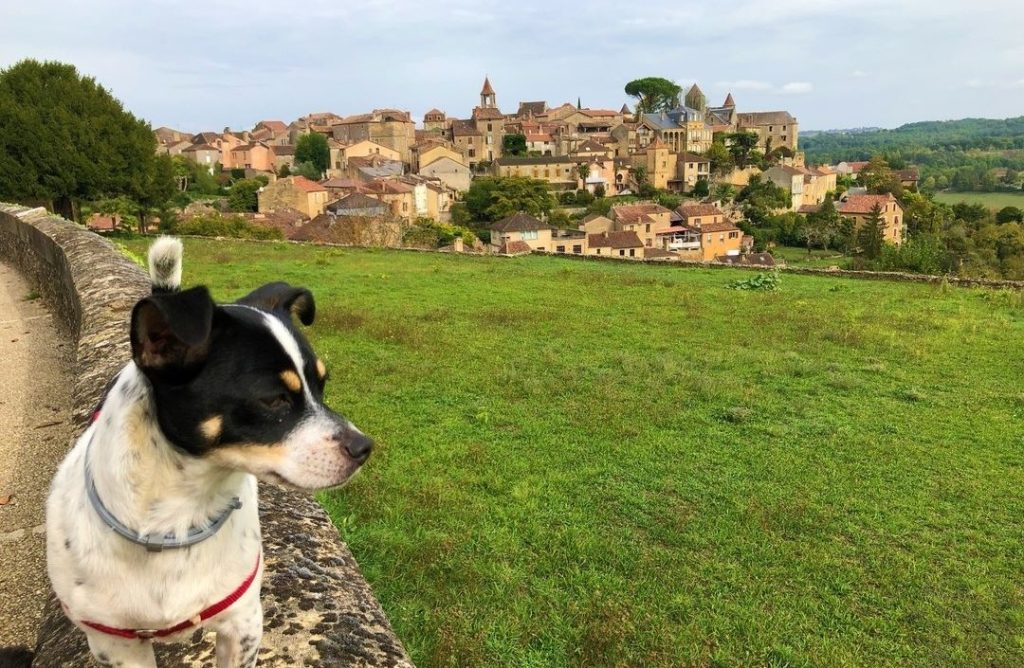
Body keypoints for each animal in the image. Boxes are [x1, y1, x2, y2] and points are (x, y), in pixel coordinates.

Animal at [46, 237, 372, 663]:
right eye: (274, 399)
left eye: (322, 385)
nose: (365, 447)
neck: (177, 519)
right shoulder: (115, 643)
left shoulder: (243, 623)